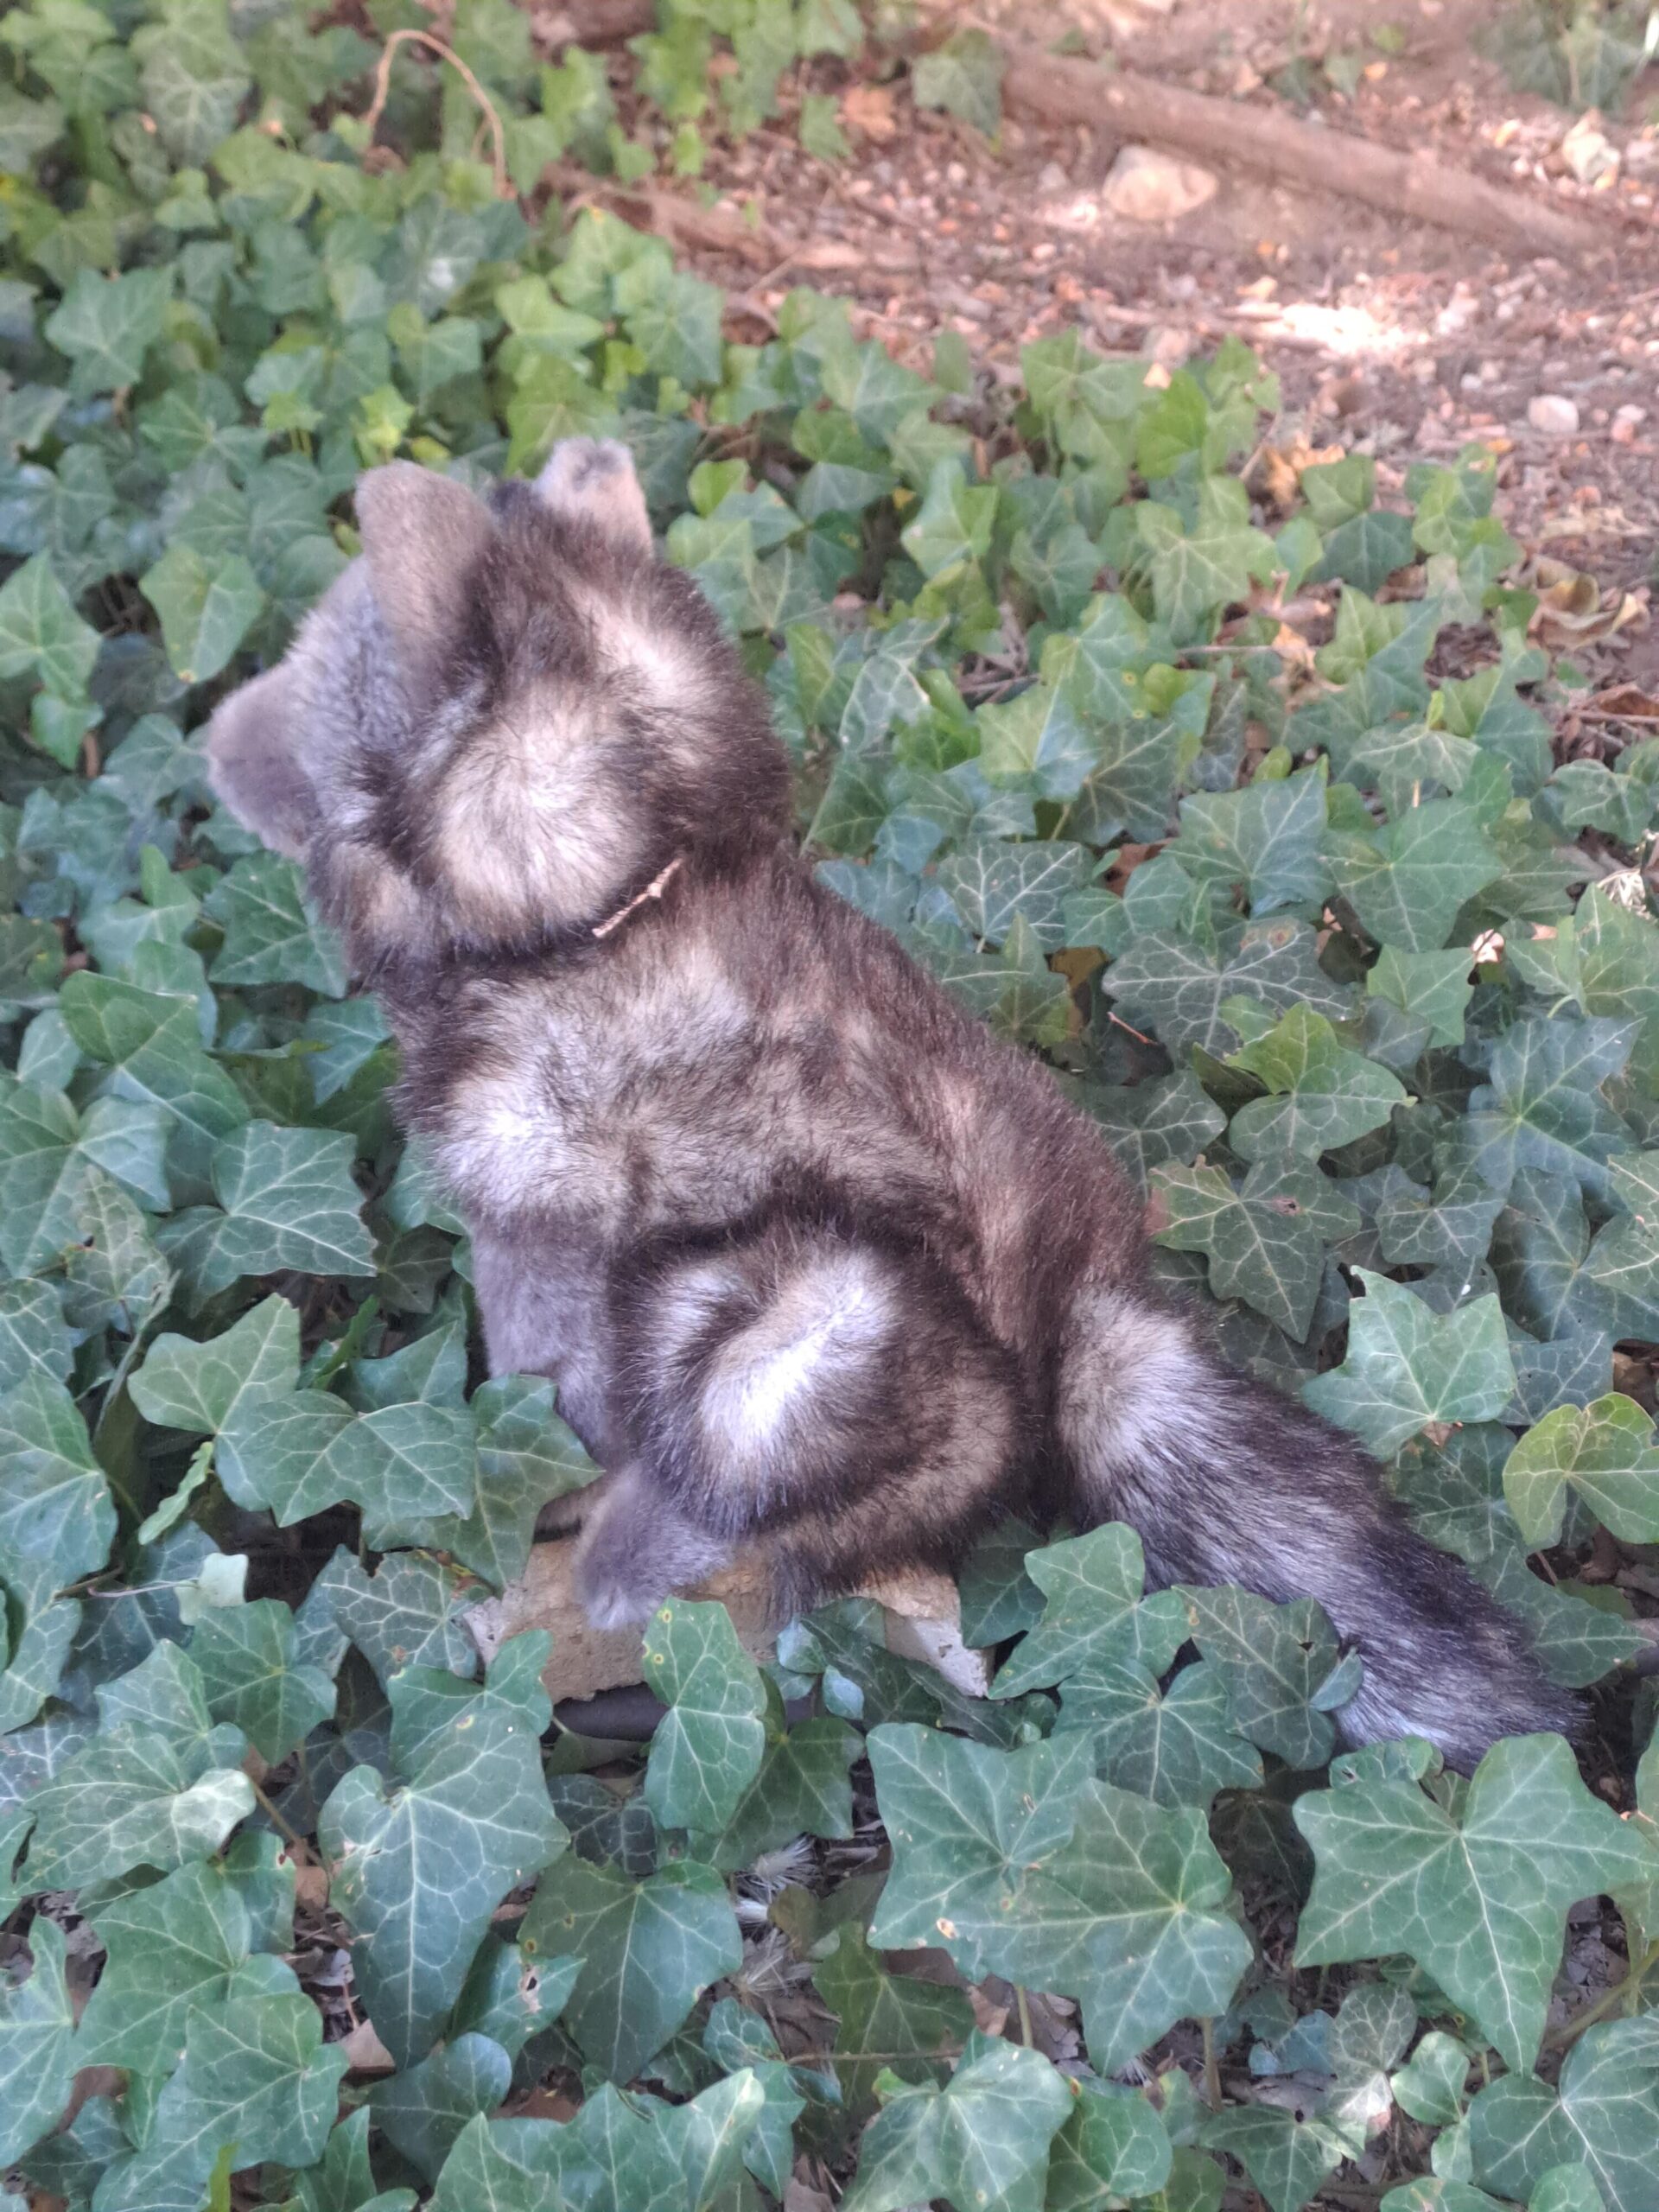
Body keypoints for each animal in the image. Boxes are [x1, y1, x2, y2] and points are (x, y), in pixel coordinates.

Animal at [206, 439, 1578, 1770]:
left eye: (316, 660)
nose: (204, 740)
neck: (628, 897)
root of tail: (1077, 1333)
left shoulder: (539, 1254)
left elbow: (553, 1400)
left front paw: (542, 1501)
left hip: (794, 1317)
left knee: (740, 1514)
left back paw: (607, 1578)